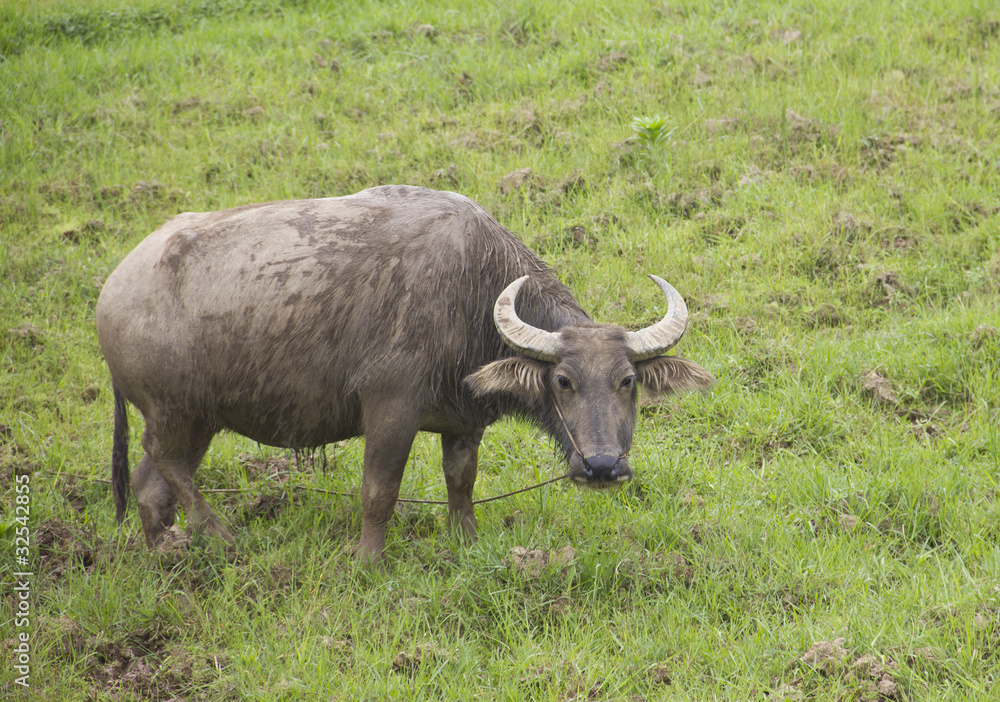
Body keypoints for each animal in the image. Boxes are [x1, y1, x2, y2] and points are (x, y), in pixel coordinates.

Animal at [97, 184, 716, 560]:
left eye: (627, 381)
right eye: (562, 381)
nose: (603, 467)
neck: (470, 290)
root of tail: (111, 294)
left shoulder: (464, 423)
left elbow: (461, 484)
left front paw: (466, 542)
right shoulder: (390, 410)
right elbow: (380, 490)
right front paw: (367, 560)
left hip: (201, 419)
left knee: (152, 486)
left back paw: (168, 552)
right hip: (173, 412)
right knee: (166, 463)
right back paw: (220, 536)